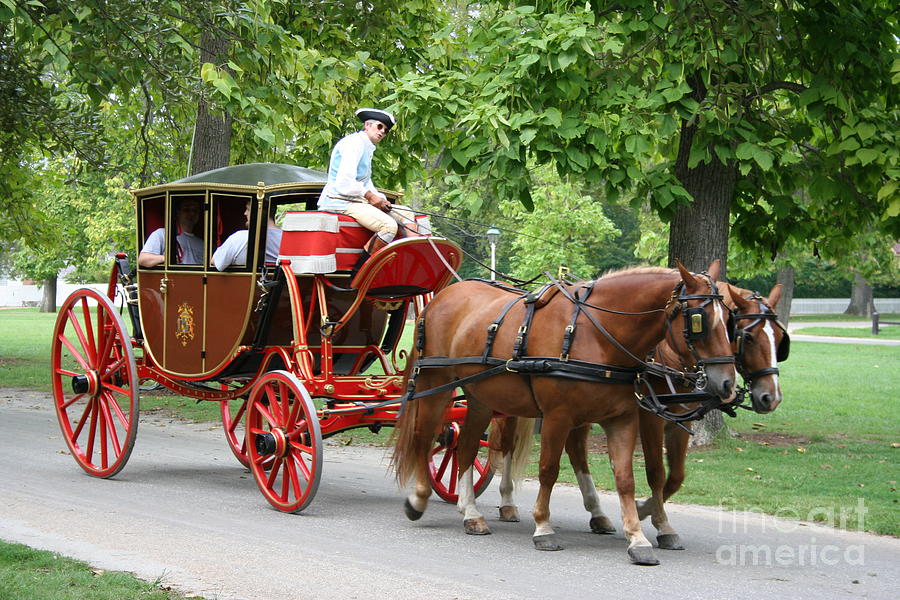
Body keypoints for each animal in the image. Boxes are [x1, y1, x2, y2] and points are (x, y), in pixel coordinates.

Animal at [396, 260, 740, 564]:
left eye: (731, 319)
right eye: (699, 319)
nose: (726, 384)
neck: (597, 333)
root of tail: (443, 297)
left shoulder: (622, 419)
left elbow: (626, 478)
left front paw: (637, 538)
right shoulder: (558, 417)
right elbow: (548, 470)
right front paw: (543, 527)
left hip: (480, 397)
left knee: (466, 448)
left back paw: (470, 511)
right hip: (436, 384)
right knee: (424, 437)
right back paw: (420, 497)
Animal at [486, 282, 788, 552]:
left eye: (779, 339)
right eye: (747, 336)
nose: (770, 397)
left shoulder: (680, 419)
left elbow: (676, 476)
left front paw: (645, 512)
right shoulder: (649, 417)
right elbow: (656, 472)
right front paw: (654, 518)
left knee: (576, 451)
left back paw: (597, 513)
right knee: (507, 444)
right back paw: (508, 502)